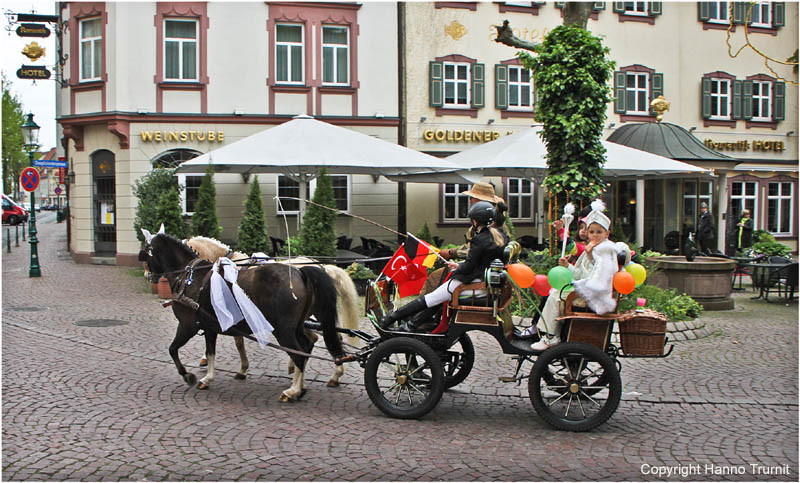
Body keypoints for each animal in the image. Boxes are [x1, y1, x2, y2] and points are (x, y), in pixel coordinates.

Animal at [139, 229, 346, 402]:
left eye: (146, 252)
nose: (148, 276)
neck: (191, 277)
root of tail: (301, 272)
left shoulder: (187, 325)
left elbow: (172, 349)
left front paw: (188, 375)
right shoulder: (210, 326)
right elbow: (211, 351)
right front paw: (208, 378)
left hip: (284, 330)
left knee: (300, 354)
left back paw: (293, 390)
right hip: (297, 326)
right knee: (307, 345)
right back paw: (302, 385)